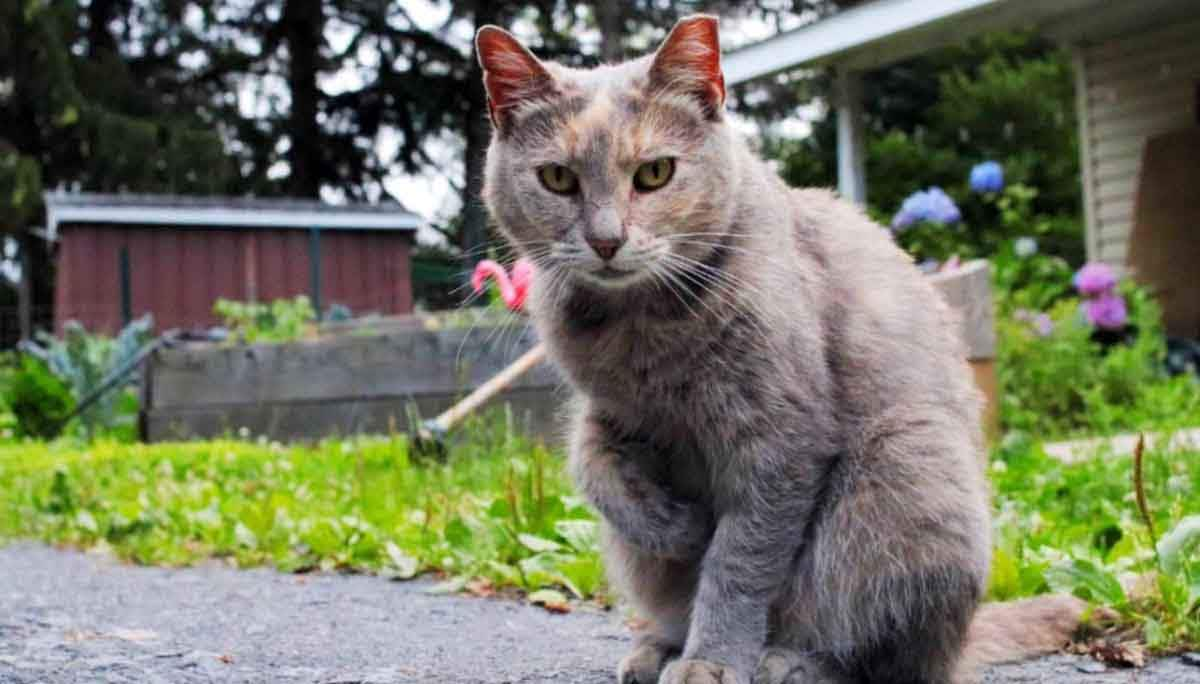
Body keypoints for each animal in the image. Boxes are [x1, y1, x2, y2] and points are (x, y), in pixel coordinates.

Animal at [475, 15, 1089, 681]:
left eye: (655, 173)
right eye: (557, 178)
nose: (606, 241)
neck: (640, 331)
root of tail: (965, 638)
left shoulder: (781, 437)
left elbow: (740, 559)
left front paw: (712, 660)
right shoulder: (609, 410)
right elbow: (593, 469)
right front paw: (678, 528)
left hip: (910, 460)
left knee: (886, 656)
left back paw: (789, 662)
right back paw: (658, 644)